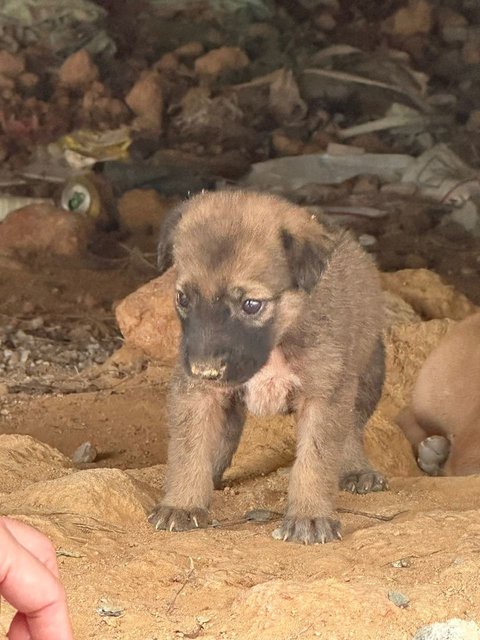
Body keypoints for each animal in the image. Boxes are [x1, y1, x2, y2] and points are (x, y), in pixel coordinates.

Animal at [149, 190, 386, 544]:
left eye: (251, 304)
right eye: (183, 299)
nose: (204, 370)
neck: (277, 341)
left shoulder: (324, 394)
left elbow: (315, 460)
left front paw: (309, 515)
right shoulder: (196, 393)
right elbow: (190, 449)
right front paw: (183, 503)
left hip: (367, 373)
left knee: (353, 428)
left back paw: (357, 468)